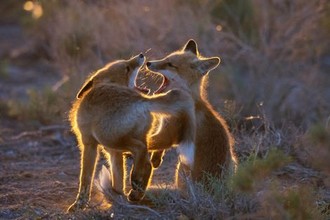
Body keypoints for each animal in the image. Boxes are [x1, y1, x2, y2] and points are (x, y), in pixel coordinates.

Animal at [67, 53, 196, 211]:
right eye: (127, 68)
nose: (141, 55)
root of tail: (142, 101)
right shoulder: (112, 152)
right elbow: (118, 179)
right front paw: (117, 197)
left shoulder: (89, 143)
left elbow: (85, 177)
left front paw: (80, 203)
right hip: (129, 139)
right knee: (147, 163)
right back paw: (137, 192)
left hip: (109, 137)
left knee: (140, 150)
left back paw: (135, 180)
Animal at [146, 39, 237, 187]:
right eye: (165, 58)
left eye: (170, 64)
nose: (148, 63)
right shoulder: (164, 127)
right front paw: (156, 159)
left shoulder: (169, 132)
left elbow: (152, 141)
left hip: (181, 166)